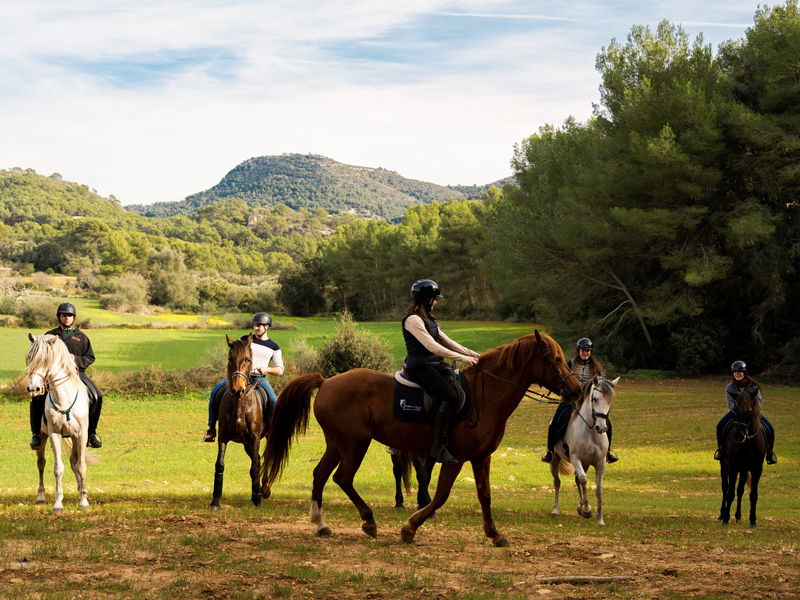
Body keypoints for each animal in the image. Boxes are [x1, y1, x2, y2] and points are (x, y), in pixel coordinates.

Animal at [26, 333, 92, 514]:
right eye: (30, 357)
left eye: (45, 359)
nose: (33, 388)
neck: (64, 399)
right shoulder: (54, 434)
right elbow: (58, 468)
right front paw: (57, 504)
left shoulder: (81, 435)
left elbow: (81, 466)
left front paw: (83, 501)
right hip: (42, 437)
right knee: (41, 463)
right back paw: (41, 496)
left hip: (74, 438)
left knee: (75, 462)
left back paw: (81, 492)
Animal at [209, 335, 272, 509]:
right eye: (230, 358)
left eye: (248, 360)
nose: (238, 390)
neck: (240, 404)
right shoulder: (223, 436)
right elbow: (220, 465)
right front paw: (215, 501)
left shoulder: (255, 438)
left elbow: (254, 468)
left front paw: (258, 500)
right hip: (246, 444)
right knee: (258, 459)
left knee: (264, 460)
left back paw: (264, 490)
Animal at [261, 330, 580, 546]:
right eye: (555, 359)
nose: (577, 390)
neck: (484, 396)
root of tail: (326, 382)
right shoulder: (455, 458)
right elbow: (440, 496)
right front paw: (409, 528)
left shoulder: (481, 457)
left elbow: (484, 495)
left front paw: (494, 534)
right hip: (354, 444)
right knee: (343, 478)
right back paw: (369, 521)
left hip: (337, 444)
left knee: (320, 475)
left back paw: (321, 524)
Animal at [549, 375, 619, 526]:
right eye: (595, 399)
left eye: (610, 401)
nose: (602, 428)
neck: (591, 432)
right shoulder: (576, 459)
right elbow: (583, 480)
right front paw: (586, 508)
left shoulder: (600, 463)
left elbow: (598, 489)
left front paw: (600, 519)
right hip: (555, 460)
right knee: (557, 482)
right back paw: (555, 509)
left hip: (585, 464)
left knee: (576, 479)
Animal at [719, 387, 767, 527]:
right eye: (735, 409)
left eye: (750, 411)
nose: (739, 436)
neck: (748, 443)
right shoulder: (733, 468)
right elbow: (730, 493)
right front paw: (726, 519)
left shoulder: (757, 469)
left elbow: (753, 494)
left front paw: (753, 520)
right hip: (724, 466)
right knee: (725, 488)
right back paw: (722, 514)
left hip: (744, 470)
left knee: (740, 490)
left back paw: (738, 515)